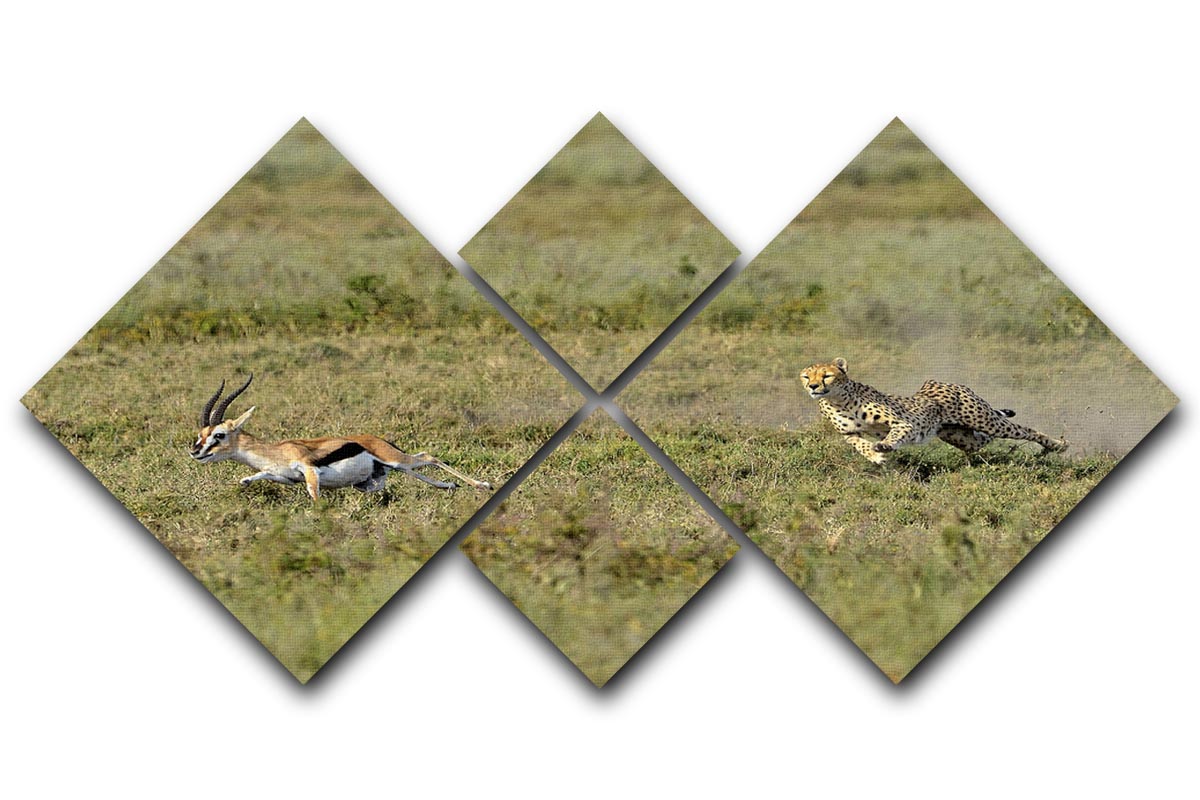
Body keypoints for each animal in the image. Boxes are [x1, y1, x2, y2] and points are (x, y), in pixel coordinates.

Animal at [799, 357, 1067, 465]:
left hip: (984, 419)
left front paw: (884, 445)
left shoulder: (903, 423)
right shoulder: (849, 434)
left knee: (1025, 430)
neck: (838, 399)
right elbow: (860, 444)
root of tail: (946, 382)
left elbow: (893, 434)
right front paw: (875, 456)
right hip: (962, 436)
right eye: (806, 376)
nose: (813, 387)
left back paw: (1058, 445)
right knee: (983, 440)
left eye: (826, 376)